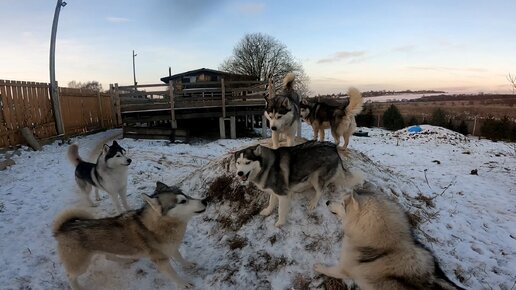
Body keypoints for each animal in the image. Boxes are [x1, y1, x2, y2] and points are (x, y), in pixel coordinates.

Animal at [52, 181, 206, 290]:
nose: (205, 200)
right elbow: (174, 275)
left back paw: (126, 260)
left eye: (186, 195)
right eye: (182, 201)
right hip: (81, 265)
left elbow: (180, 258)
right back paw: (77, 287)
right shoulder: (160, 260)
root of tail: (63, 228)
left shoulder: (171, 247)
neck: (159, 225)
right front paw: (184, 284)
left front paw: (187, 264)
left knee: (108, 256)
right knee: (70, 276)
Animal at [234, 142, 362, 228]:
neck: (267, 166)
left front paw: (280, 223)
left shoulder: (283, 194)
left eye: (247, 162)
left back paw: (313, 203)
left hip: (316, 177)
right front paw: (267, 211)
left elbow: (280, 210)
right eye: (238, 163)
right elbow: (271, 202)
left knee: (320, 190)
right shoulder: (274, 191)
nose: (239, 173)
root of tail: (334, 148)